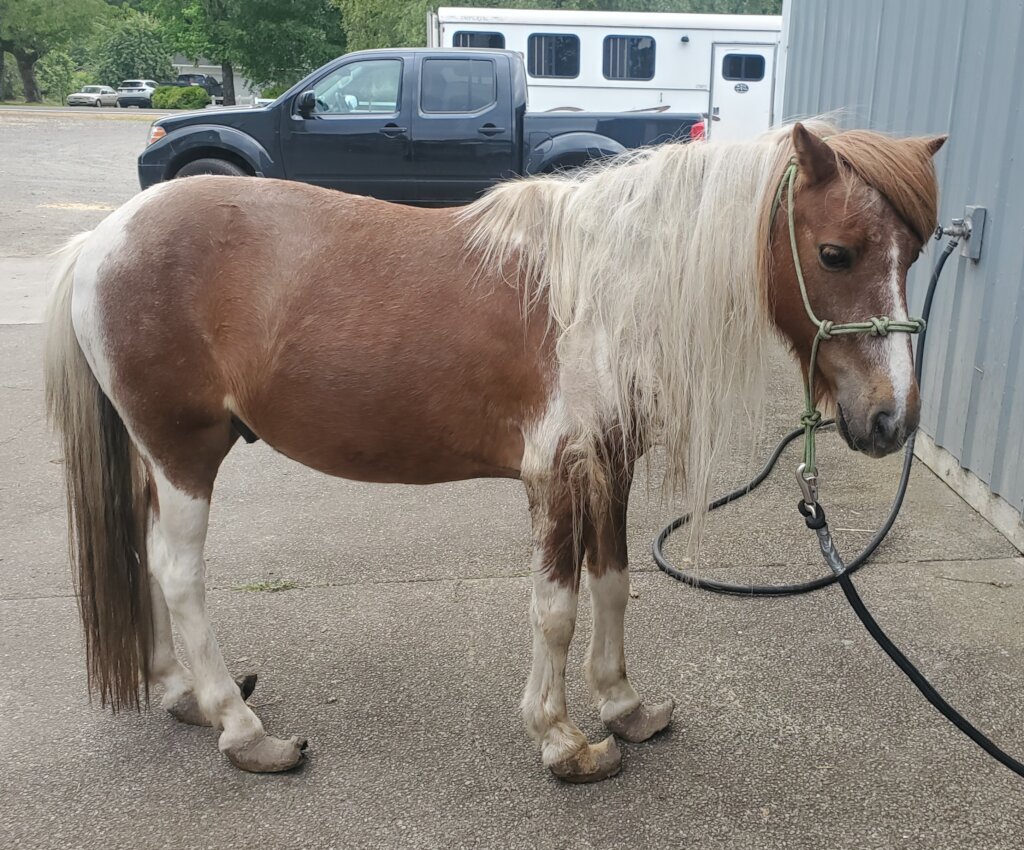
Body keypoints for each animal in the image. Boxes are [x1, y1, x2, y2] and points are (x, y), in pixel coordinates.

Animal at [44, 121, 944, 782]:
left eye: (915, 251)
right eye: (835, 252)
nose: (892, 418)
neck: (606, 292)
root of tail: (100, 240)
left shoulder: (608, 467)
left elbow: (612, 585)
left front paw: (624, 707)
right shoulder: (557, 475)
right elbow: (556, 607)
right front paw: (564, 741)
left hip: (158, 459)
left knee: (143, 554)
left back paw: (184, 693)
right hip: (183, 452)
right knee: (177, 572)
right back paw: (241, 728)